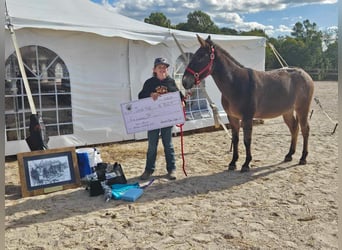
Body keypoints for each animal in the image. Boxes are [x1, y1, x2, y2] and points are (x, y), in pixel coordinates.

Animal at [183, 34, 314, 172]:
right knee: (294, 128)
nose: (184, 81)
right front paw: (233, 162)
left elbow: (247, 140)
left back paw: (303, 158)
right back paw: (289, 155)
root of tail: (305, 74)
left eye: (200, 56)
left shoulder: (247, 118)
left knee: (305, 129)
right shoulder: (232, 117)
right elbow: (235, 139)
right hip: (287, 111)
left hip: (302, 109)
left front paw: (246, 164)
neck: (236, 83)